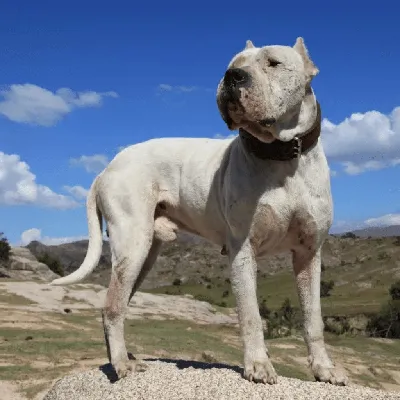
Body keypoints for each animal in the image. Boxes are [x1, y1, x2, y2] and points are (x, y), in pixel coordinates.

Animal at [52, 37, 346, 388]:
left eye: (273, 62)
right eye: (233, 64)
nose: (233, 76)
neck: (282, 157)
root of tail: (106, 168)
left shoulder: (308, 254)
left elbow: (313, 319)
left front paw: (324, 368)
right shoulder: (242, 251)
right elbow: (251, 315)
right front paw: (258, 365)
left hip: (144, 256)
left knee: (116, 305)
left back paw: (122, 358)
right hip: (132, 246)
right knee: (112, 307)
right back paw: (121, 365)